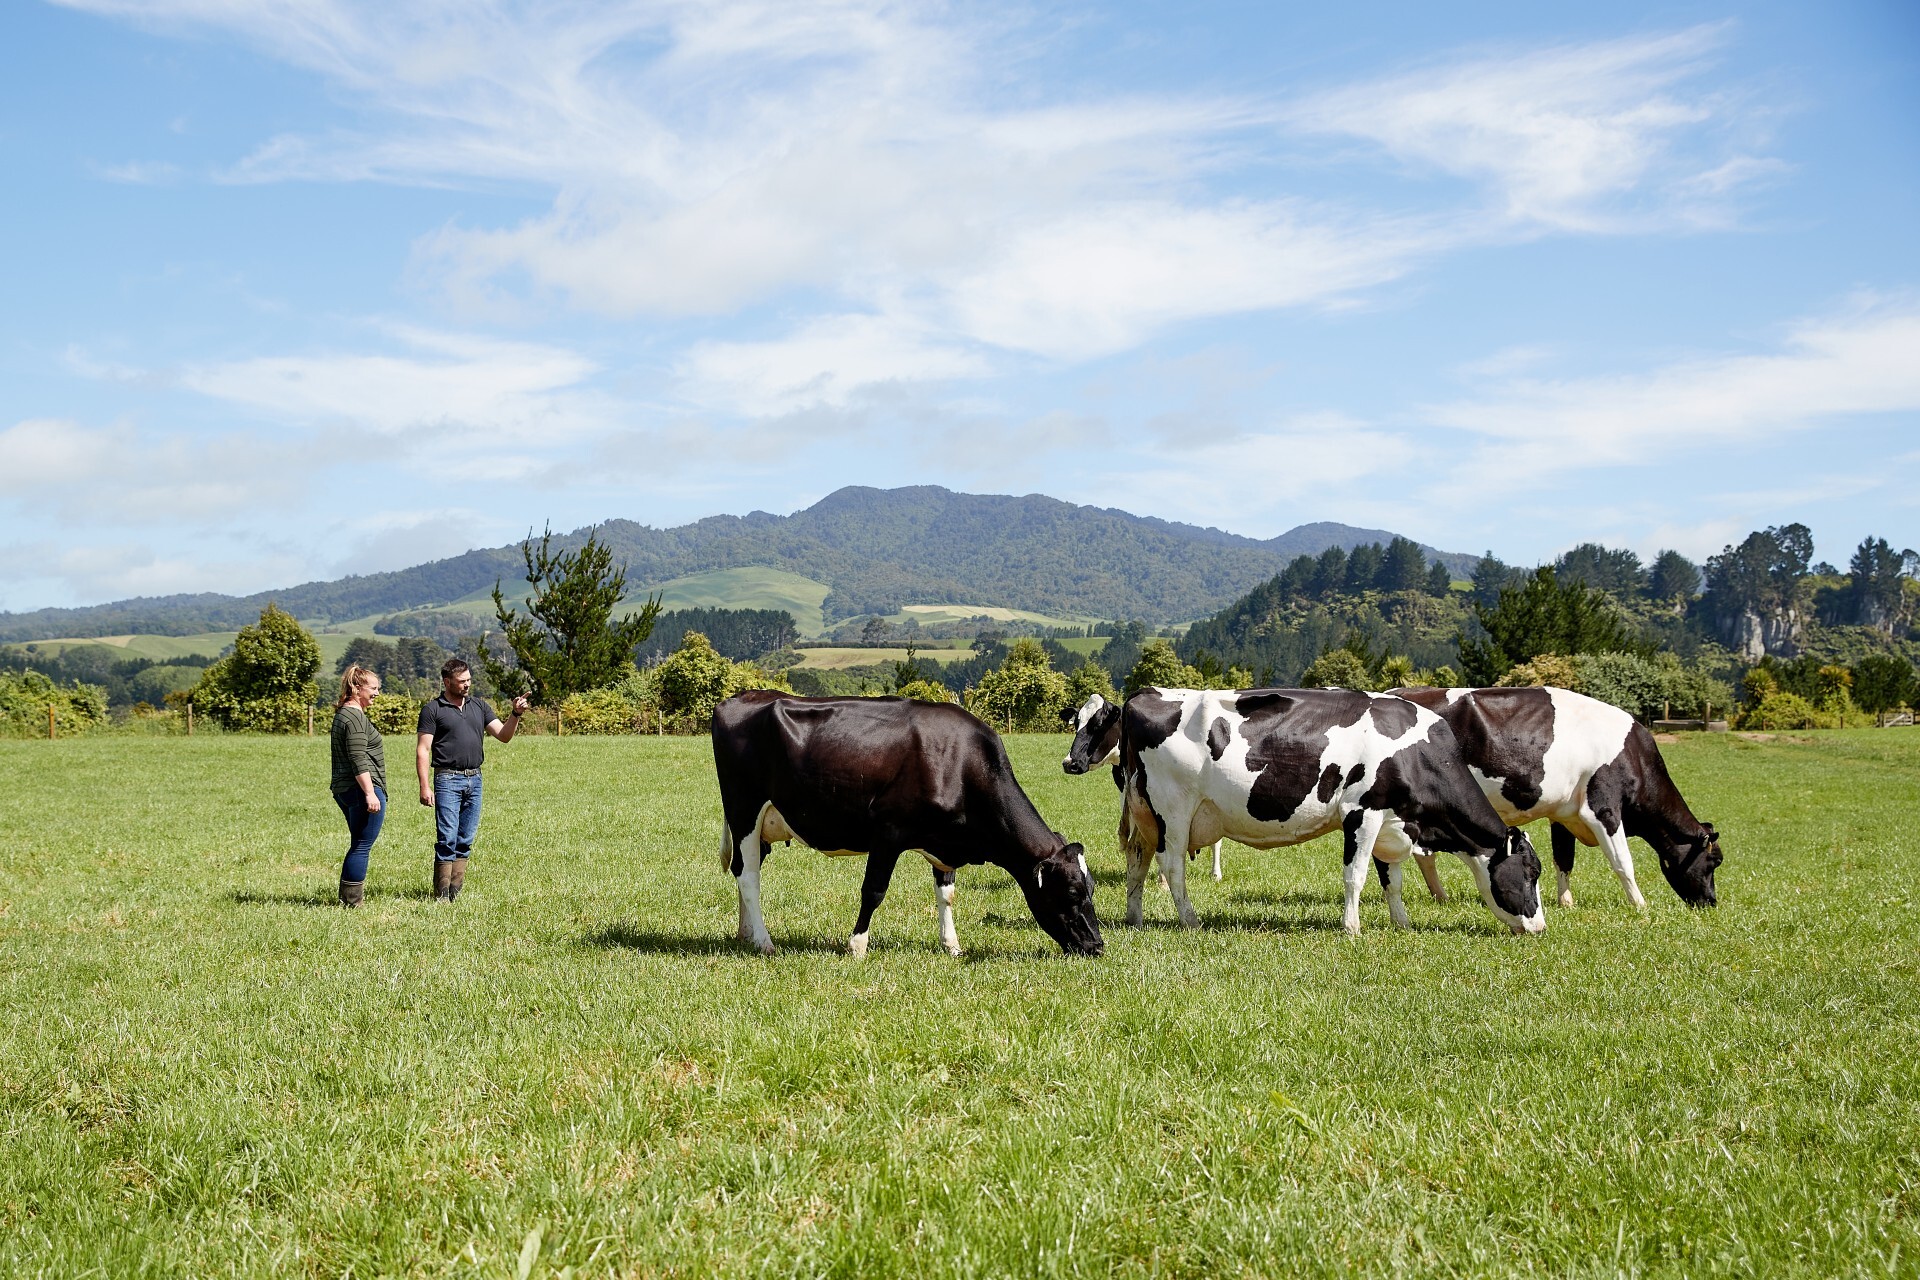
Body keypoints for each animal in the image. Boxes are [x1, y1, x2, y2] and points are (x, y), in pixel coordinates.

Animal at [718, 694, 1113, 955]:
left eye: (1092, 889)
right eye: (1073, 892)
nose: (1097, 945)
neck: (962, 765)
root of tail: (739, 698)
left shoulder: (945, 840)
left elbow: (947, 894)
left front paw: (951, 945)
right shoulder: (888, 832)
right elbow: (873, 890)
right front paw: (857, 945)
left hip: (758, 825)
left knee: (744, 871)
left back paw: (745, 933)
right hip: (744, 812)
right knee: (748, 876)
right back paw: (765, 942)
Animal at [1113, 687, 1543, 936]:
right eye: (1530, 873)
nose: (1539, 927)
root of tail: (1144, 694)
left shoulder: (1390, 820)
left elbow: (1393, 880)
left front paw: (1402, 924)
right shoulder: (1362, 811)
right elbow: (1356, 876)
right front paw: (1352, 928)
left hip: (1147, 813)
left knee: (1137, 858)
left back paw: (1134, 917)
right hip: (1173, 807)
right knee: (1171, 866)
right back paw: (1190, 921)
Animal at [1382, 690, 1728, 909]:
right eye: (1715, 861)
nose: (1711, 902)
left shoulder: (1566, 814)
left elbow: (1564, 859)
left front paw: (1566, 901)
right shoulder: (1602, 809)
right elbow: (1623, 862)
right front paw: (1640, 905)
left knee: (1423, 853)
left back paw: (1440, 896)